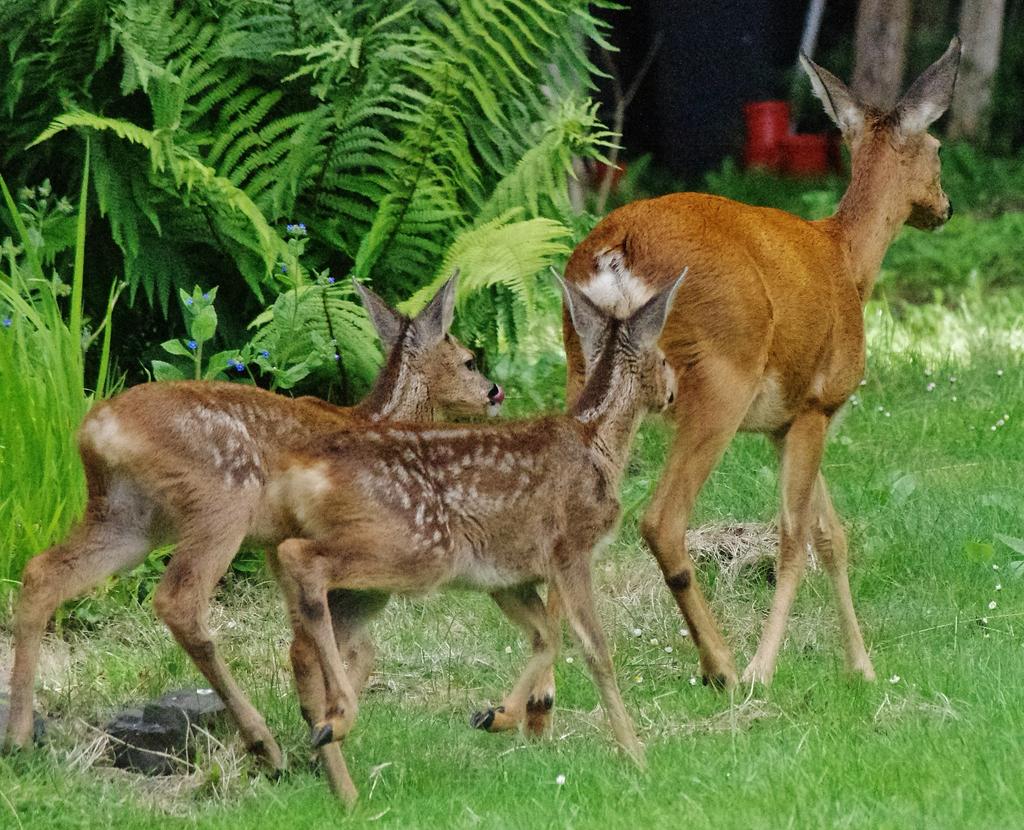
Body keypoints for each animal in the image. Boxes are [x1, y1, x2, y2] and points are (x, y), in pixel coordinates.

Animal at [3, 274, 504, 774]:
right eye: (469, 360)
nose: (495, 392)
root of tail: (95, 430)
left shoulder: (277, 543)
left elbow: (335, 641)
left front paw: (323, 728)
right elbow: (336, 643)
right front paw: (325, 731)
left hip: (128, 519)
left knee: (44, 573)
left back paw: (20, 737)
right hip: (222, 498)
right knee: (179, 601)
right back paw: (263, 742)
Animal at [265, 273, 684, 803]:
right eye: (665, 357)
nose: (674, 392)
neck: (598, 443)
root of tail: (304, 473)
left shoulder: (507, 574)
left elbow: (545, 635)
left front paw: (495, 715)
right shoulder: (570, 547)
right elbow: (596, 650)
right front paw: (636, 756)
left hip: (373, 583)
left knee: (305, 642)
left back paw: (333, 752)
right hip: (417, 549)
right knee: (301, 561)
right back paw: (338, 730)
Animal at [469, 37, 963, 735]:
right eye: (938, 148)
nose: (944, 208)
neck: (847, 261)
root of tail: (615, 250)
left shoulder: (787, 420)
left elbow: (832, 536)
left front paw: (861, 670)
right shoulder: (820, 402)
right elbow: (796, 537)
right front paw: (765, 669)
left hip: (580, 366)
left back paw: (523, 706)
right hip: (717, 377)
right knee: (662, 519)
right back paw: (721, 666)